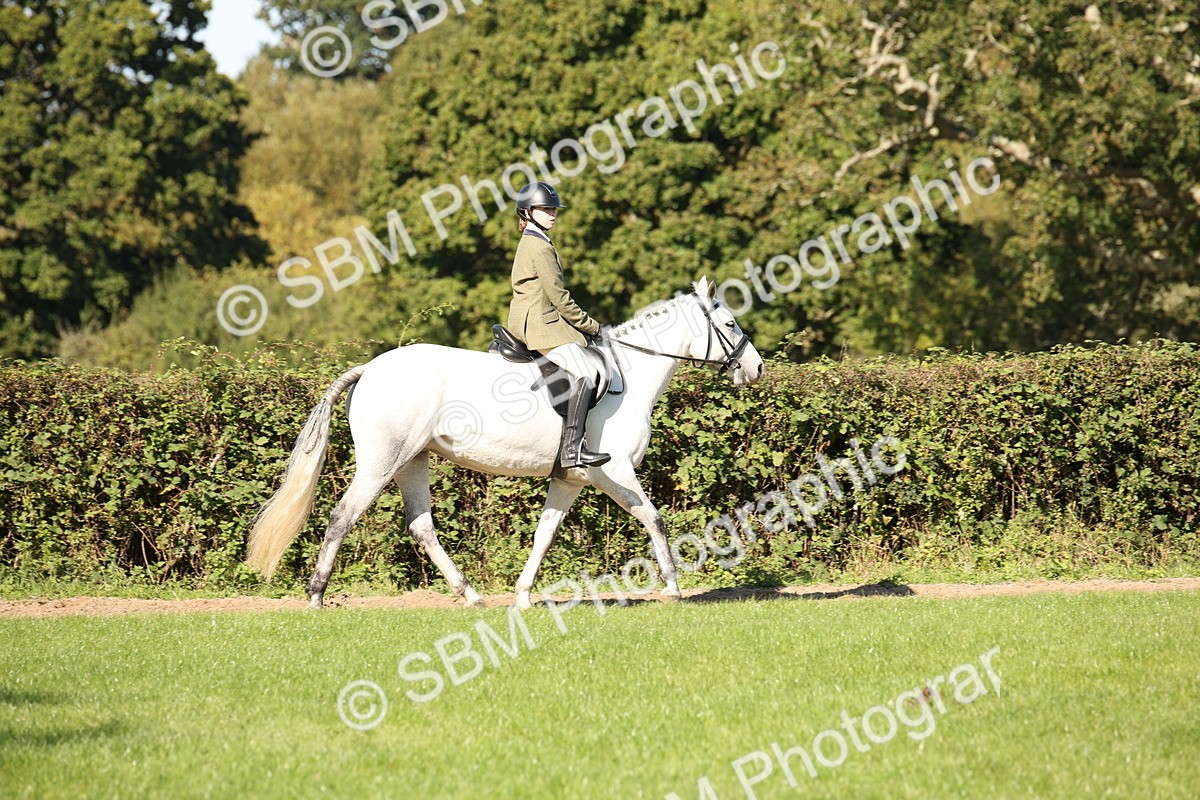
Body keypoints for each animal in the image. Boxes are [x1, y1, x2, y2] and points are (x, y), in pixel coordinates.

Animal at [245, 276, 764, 609]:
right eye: (731, 325)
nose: (756, 368)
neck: (628, 377)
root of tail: (370, 369)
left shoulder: (571, 478)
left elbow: (544, 534)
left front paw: (523, 594)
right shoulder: (611, 470)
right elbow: (653, 517)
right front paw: (673, 587)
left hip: (412, 461)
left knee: (422, 527)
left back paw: (470, 594)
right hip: (381, 463)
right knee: (342, 517)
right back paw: (316, 596)